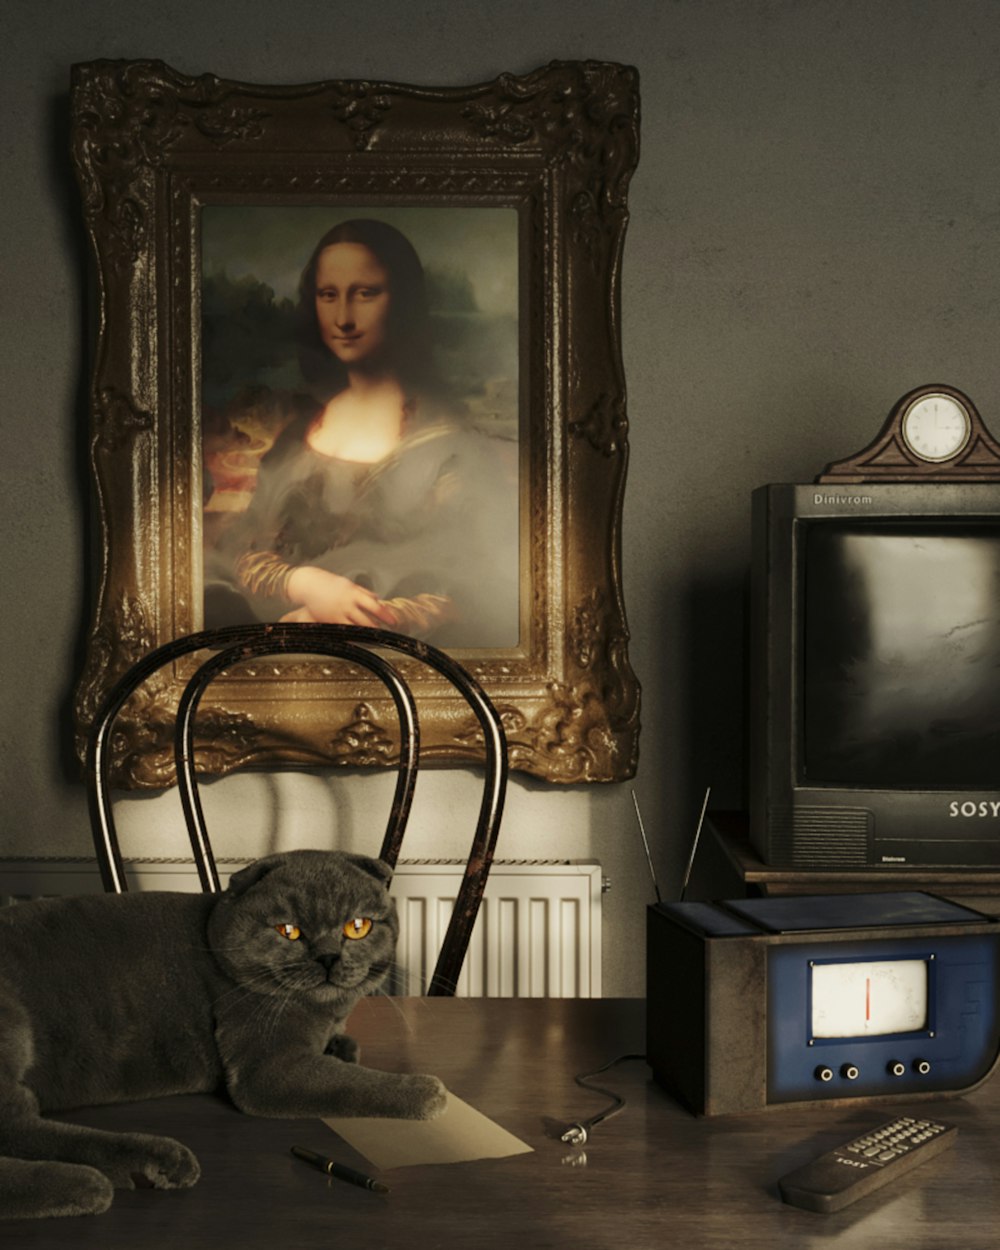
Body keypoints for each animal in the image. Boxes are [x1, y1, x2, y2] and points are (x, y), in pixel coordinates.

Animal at [0, 850, 445, 1220]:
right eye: (288, 930)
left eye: (357, 927)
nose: (329, 957)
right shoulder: (267, 1069)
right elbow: (350, 1082)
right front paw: (426, 1092)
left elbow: (344, 1054)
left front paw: (343, 1046)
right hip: (13, 1024)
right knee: (16, 1123)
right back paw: (100, 1181)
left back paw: (143, 1166)